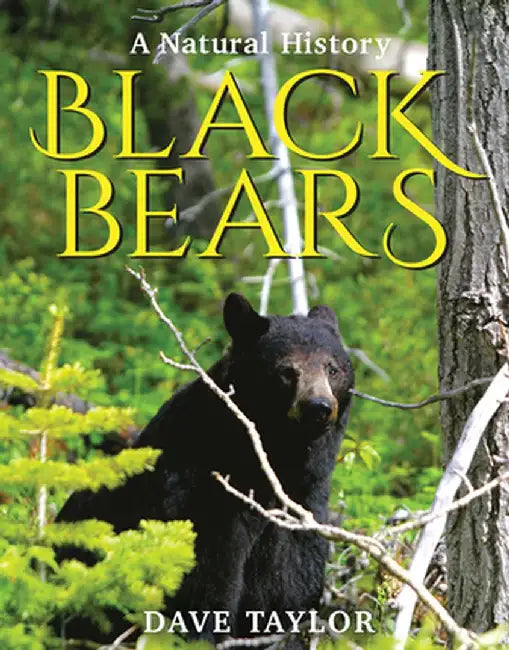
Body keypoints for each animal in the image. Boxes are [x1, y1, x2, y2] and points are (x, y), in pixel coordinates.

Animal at [56, 293, 354, 647]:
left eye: (332, 368)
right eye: (286, 371)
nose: (318, 407)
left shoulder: (303, 500)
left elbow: (293, 574)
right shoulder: (201, 496)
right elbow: (206, 576)